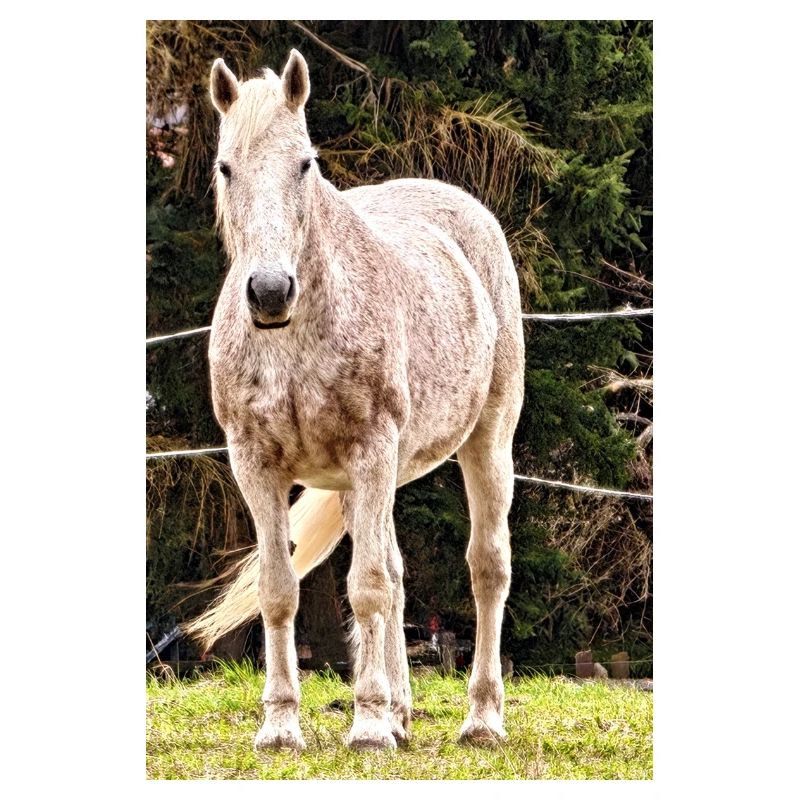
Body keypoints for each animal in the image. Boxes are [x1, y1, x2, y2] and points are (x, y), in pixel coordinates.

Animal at [186, 49, 525, 752]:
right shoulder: (255, 464)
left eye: (305, 163)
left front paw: (367, 725)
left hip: (486, 442)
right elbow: (281, 589)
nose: (269, 291)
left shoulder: (372, 451)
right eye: (226, 167)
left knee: (486, 569)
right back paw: (401, 710)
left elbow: (365, 587)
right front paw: (281, 726)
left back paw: (481, 719)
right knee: (395, 574)